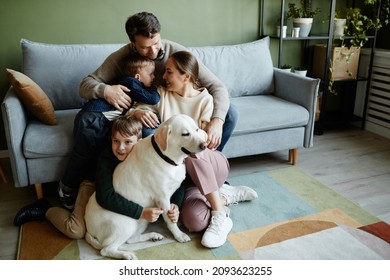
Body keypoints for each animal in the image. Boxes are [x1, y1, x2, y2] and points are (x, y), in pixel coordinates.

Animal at [84, 115, 207, 260]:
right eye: (185, 134)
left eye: (197, 129)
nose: (205, 145)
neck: (165, 156)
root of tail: (88, 228)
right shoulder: (162, 198)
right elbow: (170, 221)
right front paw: (179, 235)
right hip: (126, 224)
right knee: (106, 249)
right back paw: (126, 255)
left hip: (141, 223)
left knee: (129, 240)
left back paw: (153, 236)